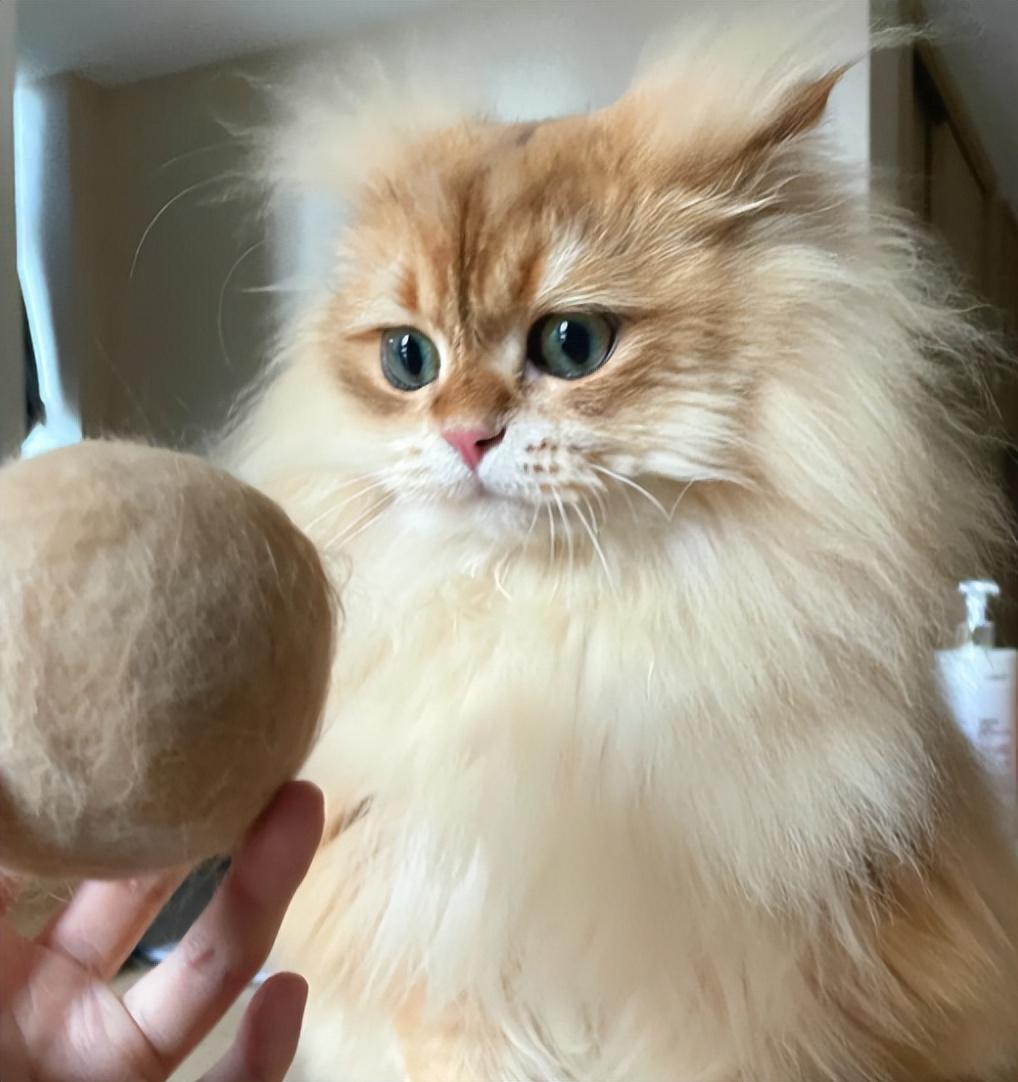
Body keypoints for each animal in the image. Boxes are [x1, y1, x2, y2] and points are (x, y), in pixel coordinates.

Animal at [223, 17, 1018, 1082]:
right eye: (408, 360)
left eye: (572, 344)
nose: (465, 437)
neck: (543, 635)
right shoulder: (443, 998)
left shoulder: (724, 1006)